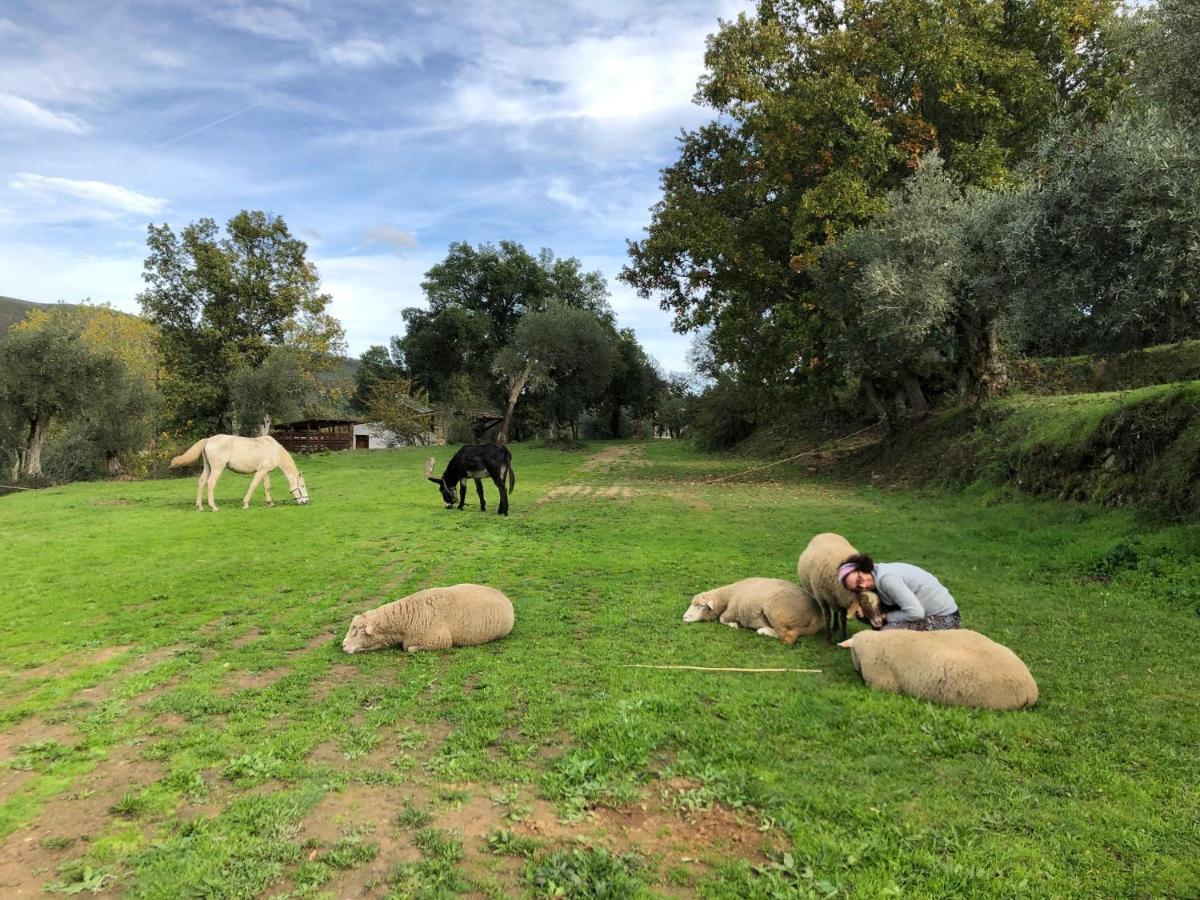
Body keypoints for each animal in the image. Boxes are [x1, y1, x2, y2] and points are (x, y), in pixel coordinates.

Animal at [168, 439, 309, 513]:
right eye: (302, 486)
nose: (306, 501)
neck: (274, 450)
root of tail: (208, 440)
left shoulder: (265, 471)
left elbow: (266, 487)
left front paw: (270, 503)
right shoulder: (260, 471)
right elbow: (253, 485)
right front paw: (245, 504)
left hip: (208, 468)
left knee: (202, 482)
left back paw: (200, 506)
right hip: (217, 469)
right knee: (211, 483)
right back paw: (213, 507)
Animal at [686, 580, 825, 643]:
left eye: (701, 606)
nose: (684, 617)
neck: (728, 595)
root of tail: (817, 614)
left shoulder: (732, 609)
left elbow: (722, 618)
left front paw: (734, 625)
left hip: (775, 611)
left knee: (787, 637)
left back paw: (763, 630)